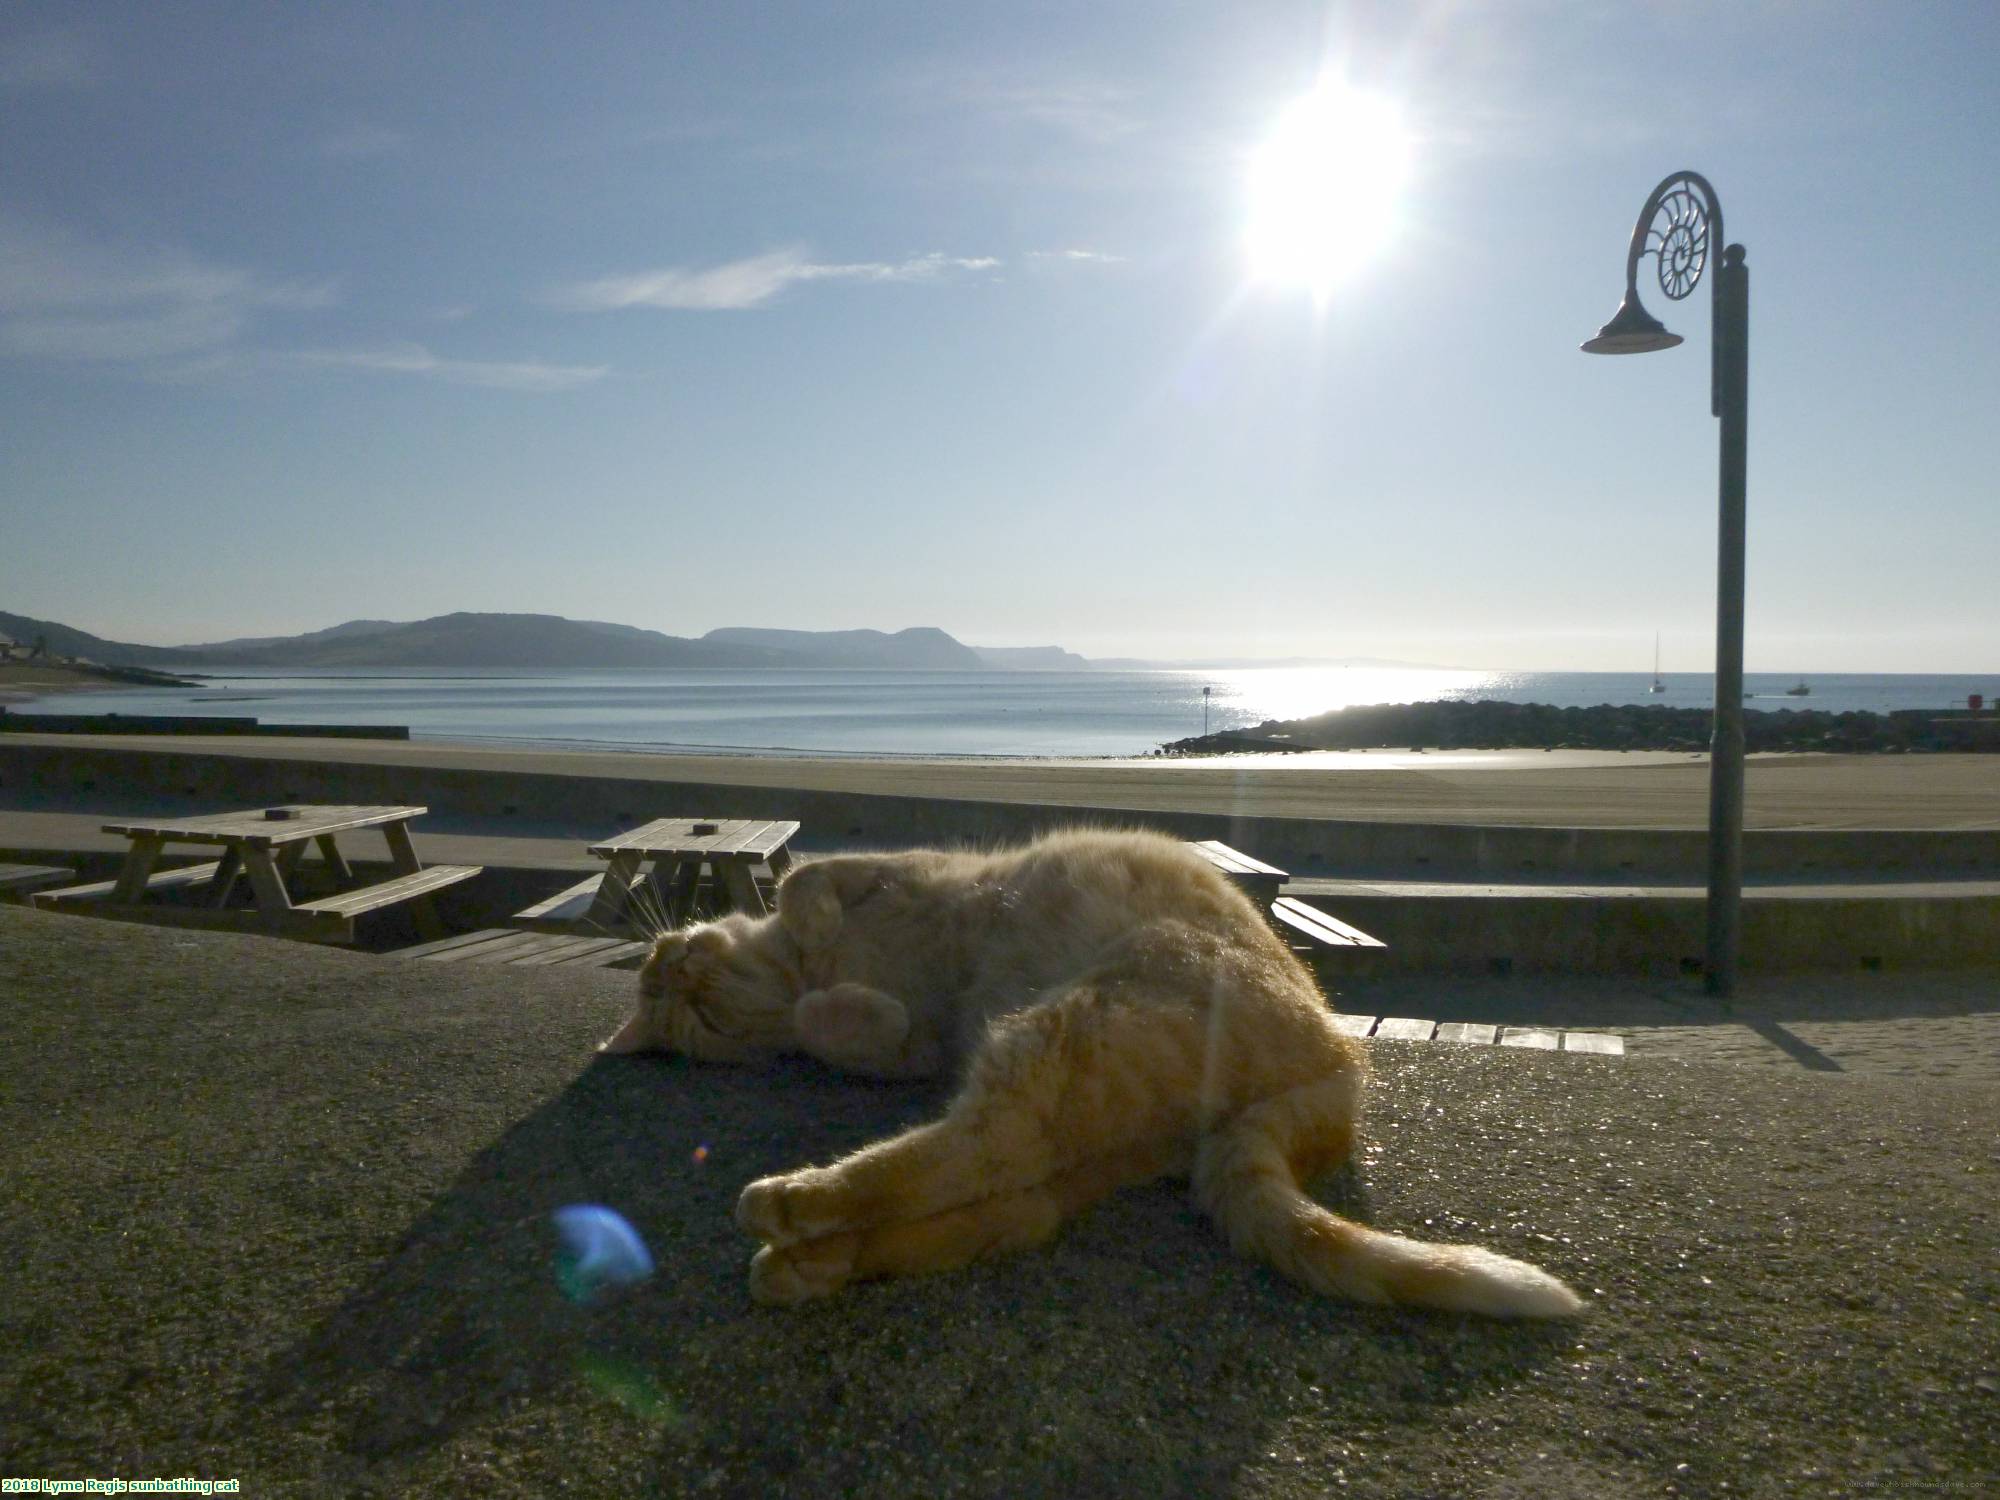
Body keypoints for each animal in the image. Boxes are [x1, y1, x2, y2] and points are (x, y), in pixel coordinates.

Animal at [600, 828, 1584, 1320]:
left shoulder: (899, 880)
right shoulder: (918, 1047)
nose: (670, 967)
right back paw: (813, 1259)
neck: (807, 970)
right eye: (696, 1021)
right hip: (1082, 1100)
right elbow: (855, 1026)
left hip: (1068, 1031)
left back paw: (793, 1210)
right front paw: (830, 1008)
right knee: (1008, 1197)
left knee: (987, 1151)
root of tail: (1340, 1064)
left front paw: (813, 944)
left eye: (688, 986)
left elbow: (810, 883)